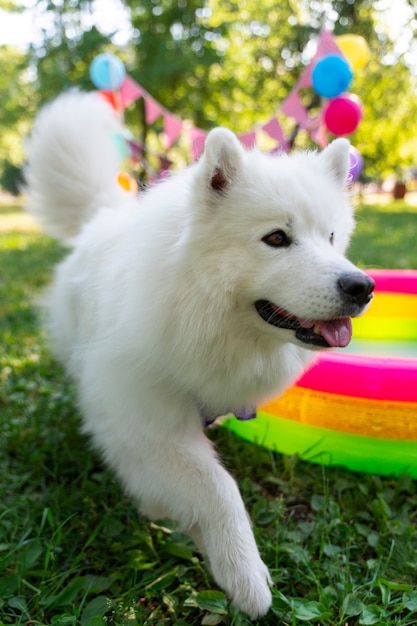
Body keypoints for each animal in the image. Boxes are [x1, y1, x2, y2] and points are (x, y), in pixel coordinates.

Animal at [24, 90, 372, 616]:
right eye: (276, 238)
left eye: (331, 237)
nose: (362, 286)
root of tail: (100, 216)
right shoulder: (145, 425)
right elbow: (219, 488)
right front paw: (245, 576)